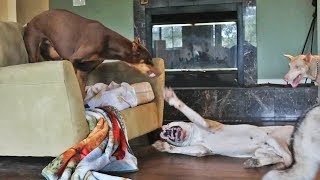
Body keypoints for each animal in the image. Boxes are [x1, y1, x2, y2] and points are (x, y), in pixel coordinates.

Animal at [23, 9, 160, 97]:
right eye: (148, 60)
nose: (160, 73)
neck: (107, 42)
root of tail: (28, 23)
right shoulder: (73, 61)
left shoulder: (84, 71)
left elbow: (82, 94)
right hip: (33, 51)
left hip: (54, 54)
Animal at [154, 88, 294, 168]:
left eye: (169, 125)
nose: (163, 131)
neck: (194, 135)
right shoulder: (201, 149)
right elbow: (181, 149)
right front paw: (164, 146)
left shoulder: (207, 124)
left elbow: (185, 109)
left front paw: (172, 99)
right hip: (262, 150)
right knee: (279, 157)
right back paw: (258, 163)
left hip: (273, 138)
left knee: (289, 158)